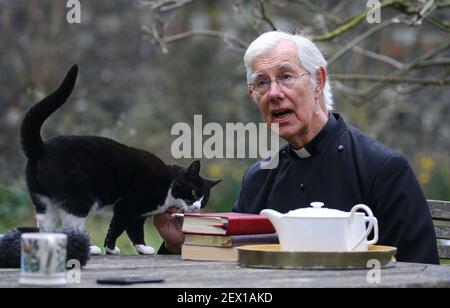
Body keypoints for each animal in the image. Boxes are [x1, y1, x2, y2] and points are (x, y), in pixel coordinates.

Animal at [21, 66, 221, 256]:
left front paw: (143, 248)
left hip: (43, 202)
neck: (168, 185)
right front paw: (110, 249)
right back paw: (90, 249)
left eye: (204, 200)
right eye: (194, 192)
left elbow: (135, 231)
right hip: (78, 202)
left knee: (46, 225)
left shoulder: (138, 214)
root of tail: (42, 147)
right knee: (70, 226)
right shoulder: (127, 205)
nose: (196, 206)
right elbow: (116, 227)